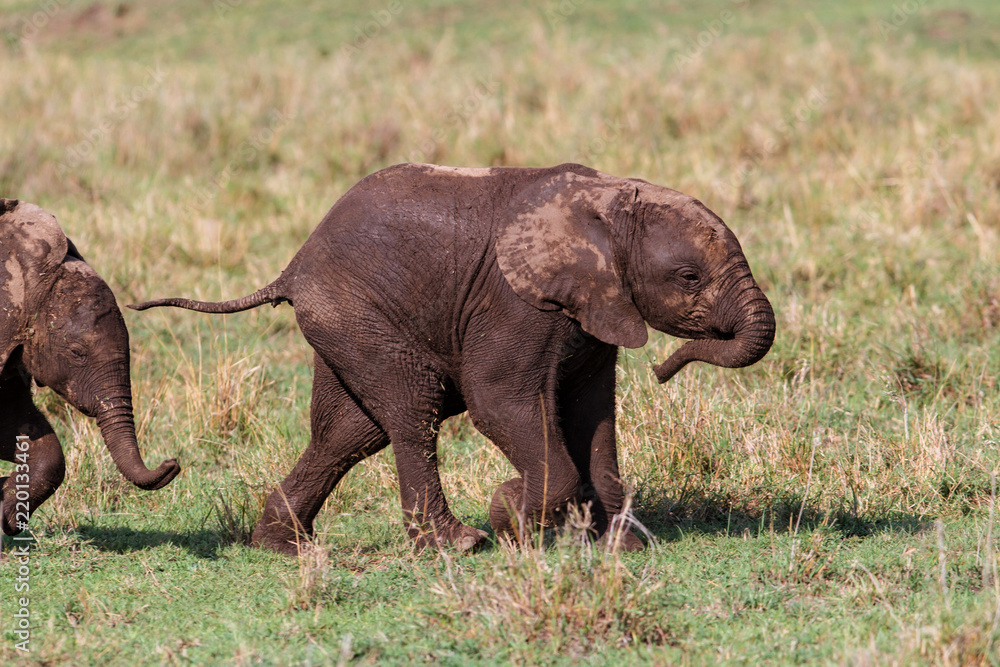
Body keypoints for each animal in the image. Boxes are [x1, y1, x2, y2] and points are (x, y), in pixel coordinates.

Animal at [131, 163, 774, 555]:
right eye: (689, 277)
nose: (664, 371)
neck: (605, 201)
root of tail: (293, 265)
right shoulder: (516, 302)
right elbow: (500, 402)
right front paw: (510, 514)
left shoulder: (596, 309)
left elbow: (593, 416)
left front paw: (622, 545)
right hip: (357, 314)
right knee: (411, 410)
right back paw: (458, 544)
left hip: (343, 321)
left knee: (350, 432)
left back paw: (282, 546)